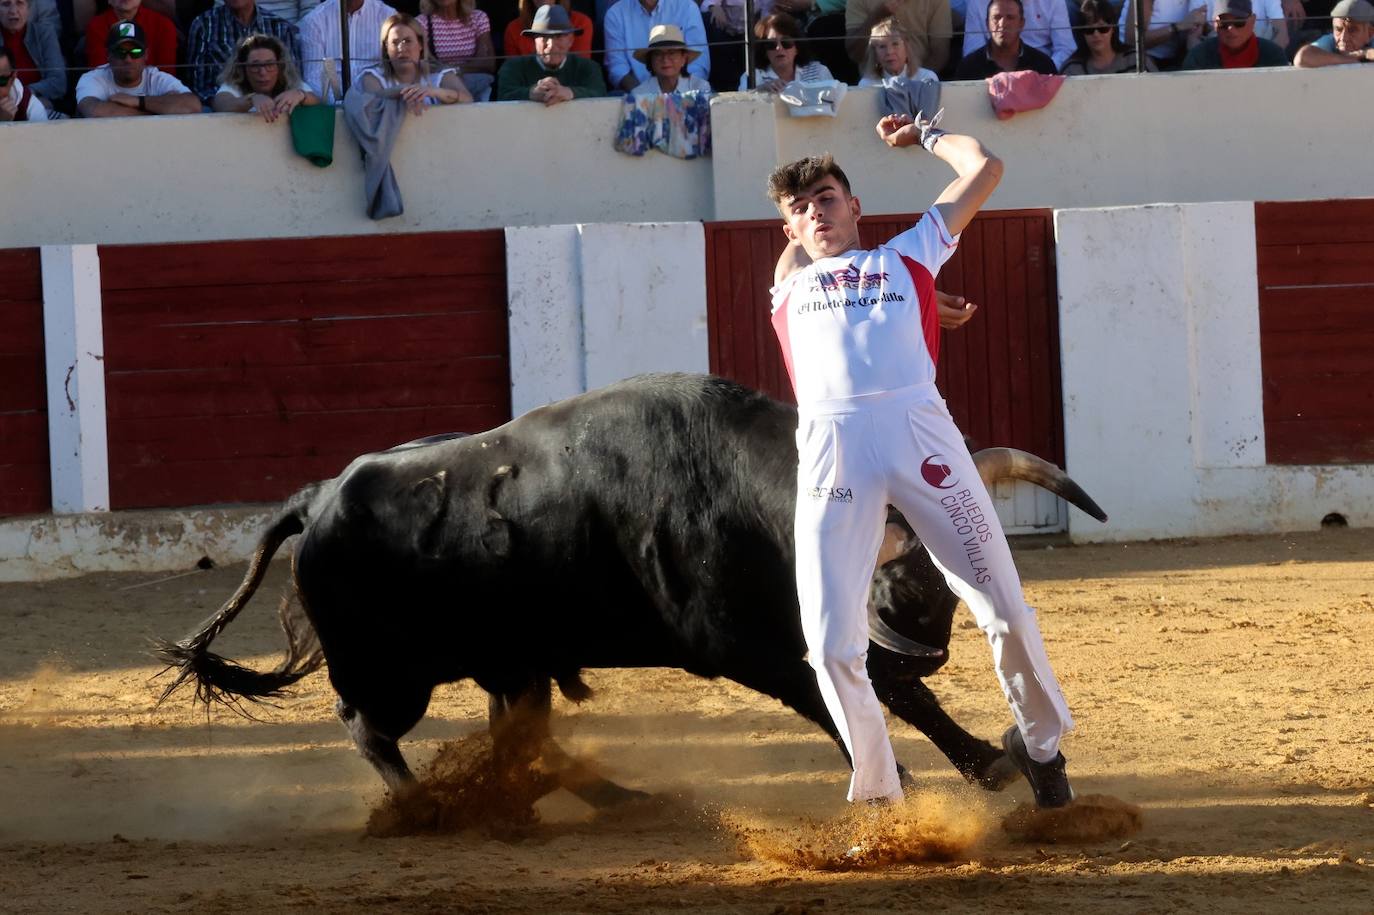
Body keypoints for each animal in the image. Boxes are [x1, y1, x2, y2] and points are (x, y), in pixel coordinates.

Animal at [158, 370, 1104, 807]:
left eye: (948, 565)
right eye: (879, 564)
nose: (925, 639)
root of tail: (319, 497)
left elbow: (895, 692)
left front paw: (989, 760)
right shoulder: (752, 645)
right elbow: (846, 698)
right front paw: (906, 778)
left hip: (511, 662)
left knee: (521, 737)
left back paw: (617, 798)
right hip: (392, 672)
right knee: (364, 722)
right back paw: (424, 803)